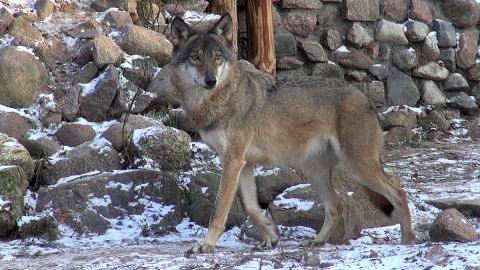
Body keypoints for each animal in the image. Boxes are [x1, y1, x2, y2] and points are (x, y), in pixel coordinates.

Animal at [170, 13, 416, 253]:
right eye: (195, 57)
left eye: (217, 57)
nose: (210, 80)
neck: (218, 99)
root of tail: (366, 97)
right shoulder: (243, 163)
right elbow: (251, 208)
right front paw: (271, 234)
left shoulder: (232, 162)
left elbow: (219, 210)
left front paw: (206, 245)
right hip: (314, 171)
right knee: (337, 206)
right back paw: (317, 241)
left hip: (357, 168)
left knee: (399, 193)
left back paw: (408, 240)